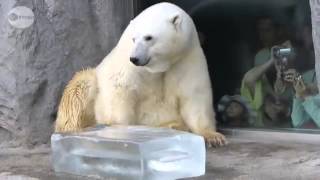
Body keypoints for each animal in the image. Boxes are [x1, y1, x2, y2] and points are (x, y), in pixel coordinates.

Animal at [54, 2, 225, 146]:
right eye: (134, 38)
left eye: (149, 37)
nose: (135, 58)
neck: (159, 65)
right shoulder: (127, 65)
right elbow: (119, 91)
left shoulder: (187, 59)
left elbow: (194, 97)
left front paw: (213, 137)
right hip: (88, 84)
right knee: (80, 87)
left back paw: (176, 126)